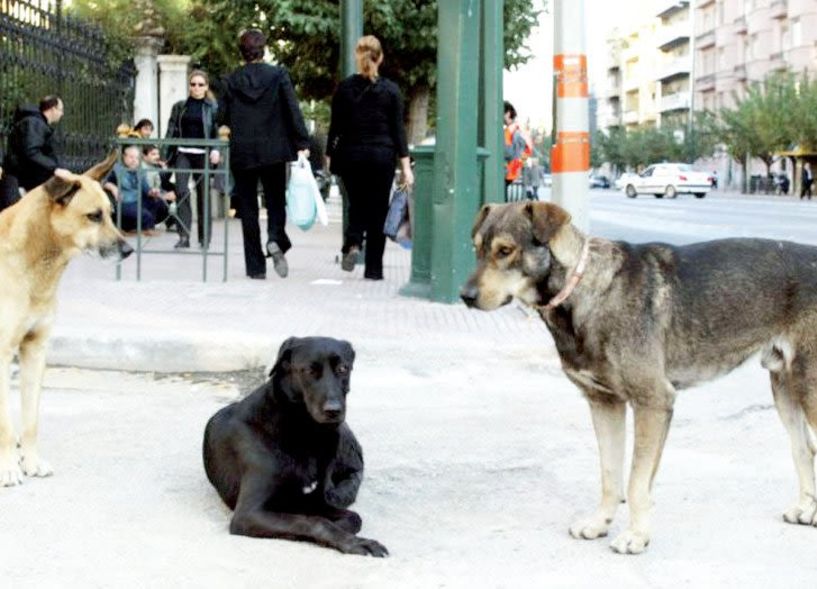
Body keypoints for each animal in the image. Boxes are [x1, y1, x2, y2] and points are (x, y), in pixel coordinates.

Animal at [0, 149, 132, 484]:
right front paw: (8, 468)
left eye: (110, 213)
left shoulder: (35, 349)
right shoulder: (1, 353)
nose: (128, 250)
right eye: (94, 216)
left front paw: (31, 462)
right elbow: (6, 425)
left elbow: (30, 421)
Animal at [462, 201, 816, 552]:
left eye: (505, 250)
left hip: (807, 391)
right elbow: (611, 475)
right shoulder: (605, 405)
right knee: (804, 448)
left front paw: (636, 535)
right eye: (476, 249)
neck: (585, 287)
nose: (465, 296)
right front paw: (600, 523)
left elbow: (635, 482)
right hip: (785, 390)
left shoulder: (653, 403)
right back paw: (806, 508)